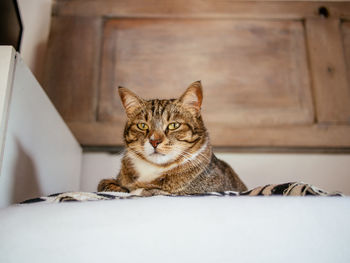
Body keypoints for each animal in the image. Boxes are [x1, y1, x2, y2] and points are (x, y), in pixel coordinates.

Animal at [97, 81, 247, 197]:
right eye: (142, 125)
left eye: (173, 125)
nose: (154, 141)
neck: (154, 169)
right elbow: (105, 183)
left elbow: (153, 191)